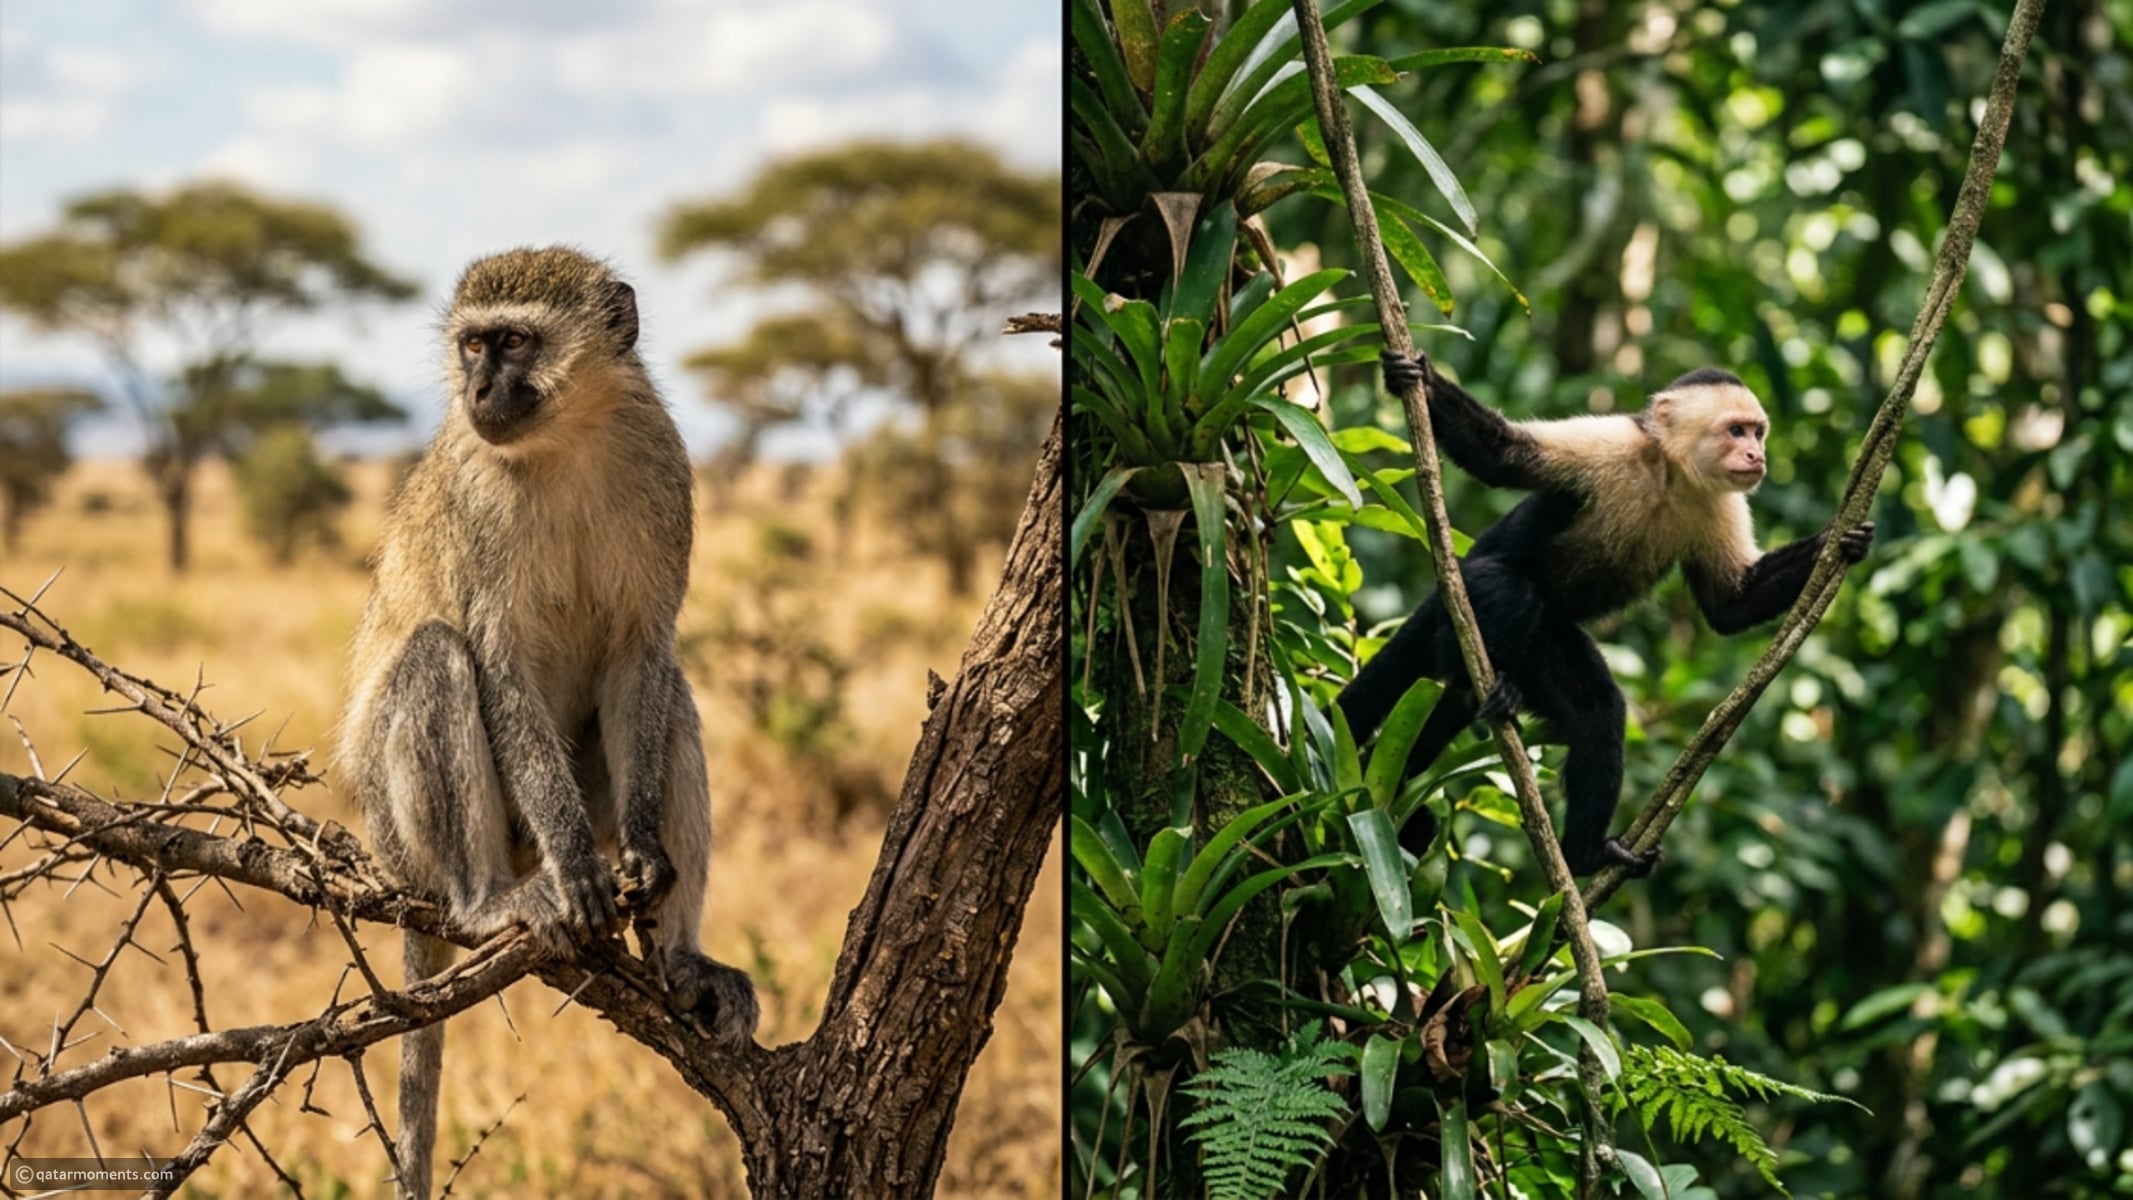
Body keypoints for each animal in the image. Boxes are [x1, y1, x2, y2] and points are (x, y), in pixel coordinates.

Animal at [338, 246, 757, 1200]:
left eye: (515, 342)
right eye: (472, 345)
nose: (477, 390)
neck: (566, 439)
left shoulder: (661, 465)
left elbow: (642, 655)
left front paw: (643, 855)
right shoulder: (476, 498)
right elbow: (500, 666)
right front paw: (576, 863)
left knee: (674, 692)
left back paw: (682, 961)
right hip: (400, 834)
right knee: (435, 653)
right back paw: (492, 901)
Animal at [1339, 349, 1874, 877]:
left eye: (1758, 432)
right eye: (1736, 430)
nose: (1757, 456)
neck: (1668, 474)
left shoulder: (1720, 501)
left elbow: (1730, 605)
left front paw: (1839, 541)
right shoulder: (1612, 444)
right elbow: (1503, 455)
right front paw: (1419, 379)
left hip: (1546, 639)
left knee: (1596, 710)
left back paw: (1586, 855)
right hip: (1459, 602)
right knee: (1506, 586)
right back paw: (1474, 683)